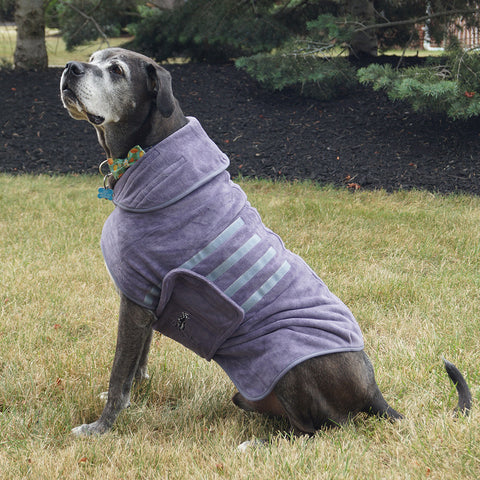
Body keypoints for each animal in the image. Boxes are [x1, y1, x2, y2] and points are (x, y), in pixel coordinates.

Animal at [58, 47, 470, 436]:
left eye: (116, 70)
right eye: (93, 58)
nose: (70, 68)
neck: (147, 154)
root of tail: (373, 392)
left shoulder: (135, 300)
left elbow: (119, 372)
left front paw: (100, 428)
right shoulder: (143, 296)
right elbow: (138, 364)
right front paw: (136, 396)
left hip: (290, 368)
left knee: (317, 430)